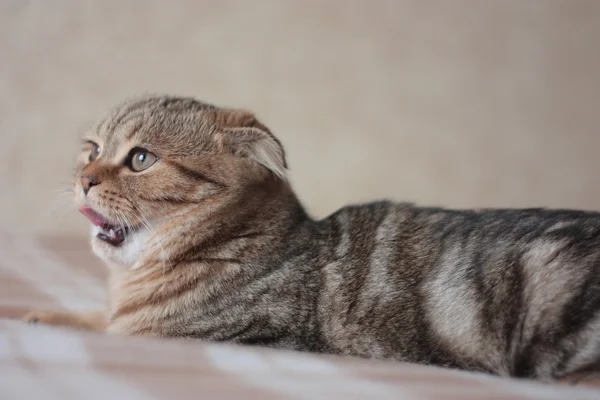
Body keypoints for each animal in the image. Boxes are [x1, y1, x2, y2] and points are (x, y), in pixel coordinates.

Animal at [24, 94, 600, 382]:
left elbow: (112, 333)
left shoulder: (211, 339)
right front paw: (38, 315)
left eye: (141, 159)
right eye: (92, 149)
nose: (84, 178)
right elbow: (88, 319)